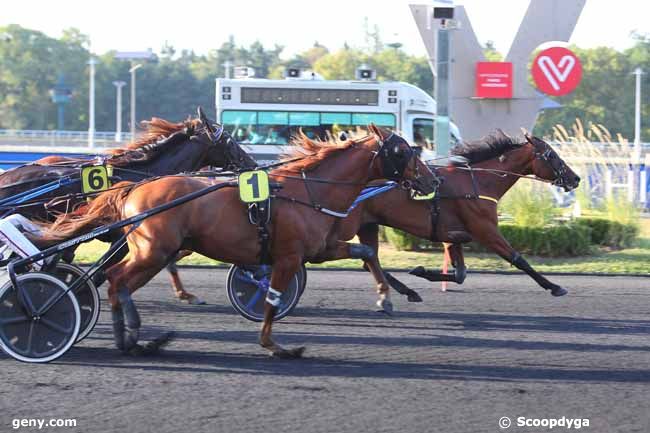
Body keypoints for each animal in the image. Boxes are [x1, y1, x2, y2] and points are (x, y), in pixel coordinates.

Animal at [40, 125, 436, 358]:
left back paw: (131, 338)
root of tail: (134, 187)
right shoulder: (289, 257)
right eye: (402, 151)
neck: (308, 192)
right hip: (154, 250)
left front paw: (389, 295)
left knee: (114, 280)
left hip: (150, 251)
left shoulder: (319, 250)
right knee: (116, 280)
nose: (432, 180)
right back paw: (130, 333)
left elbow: (367, 251)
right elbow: (273, 299)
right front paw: (274, 345)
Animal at [334, 128, 576, 308]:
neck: (478, 183)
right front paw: (555, 287)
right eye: (552, 155)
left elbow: (460, 274)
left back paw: (409, 291)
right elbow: (518, 259)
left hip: (368, 225)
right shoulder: (486, 230)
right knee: (364, 257)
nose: (576, 178)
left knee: (369, 260)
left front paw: (421, 271)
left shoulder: (451, 236)